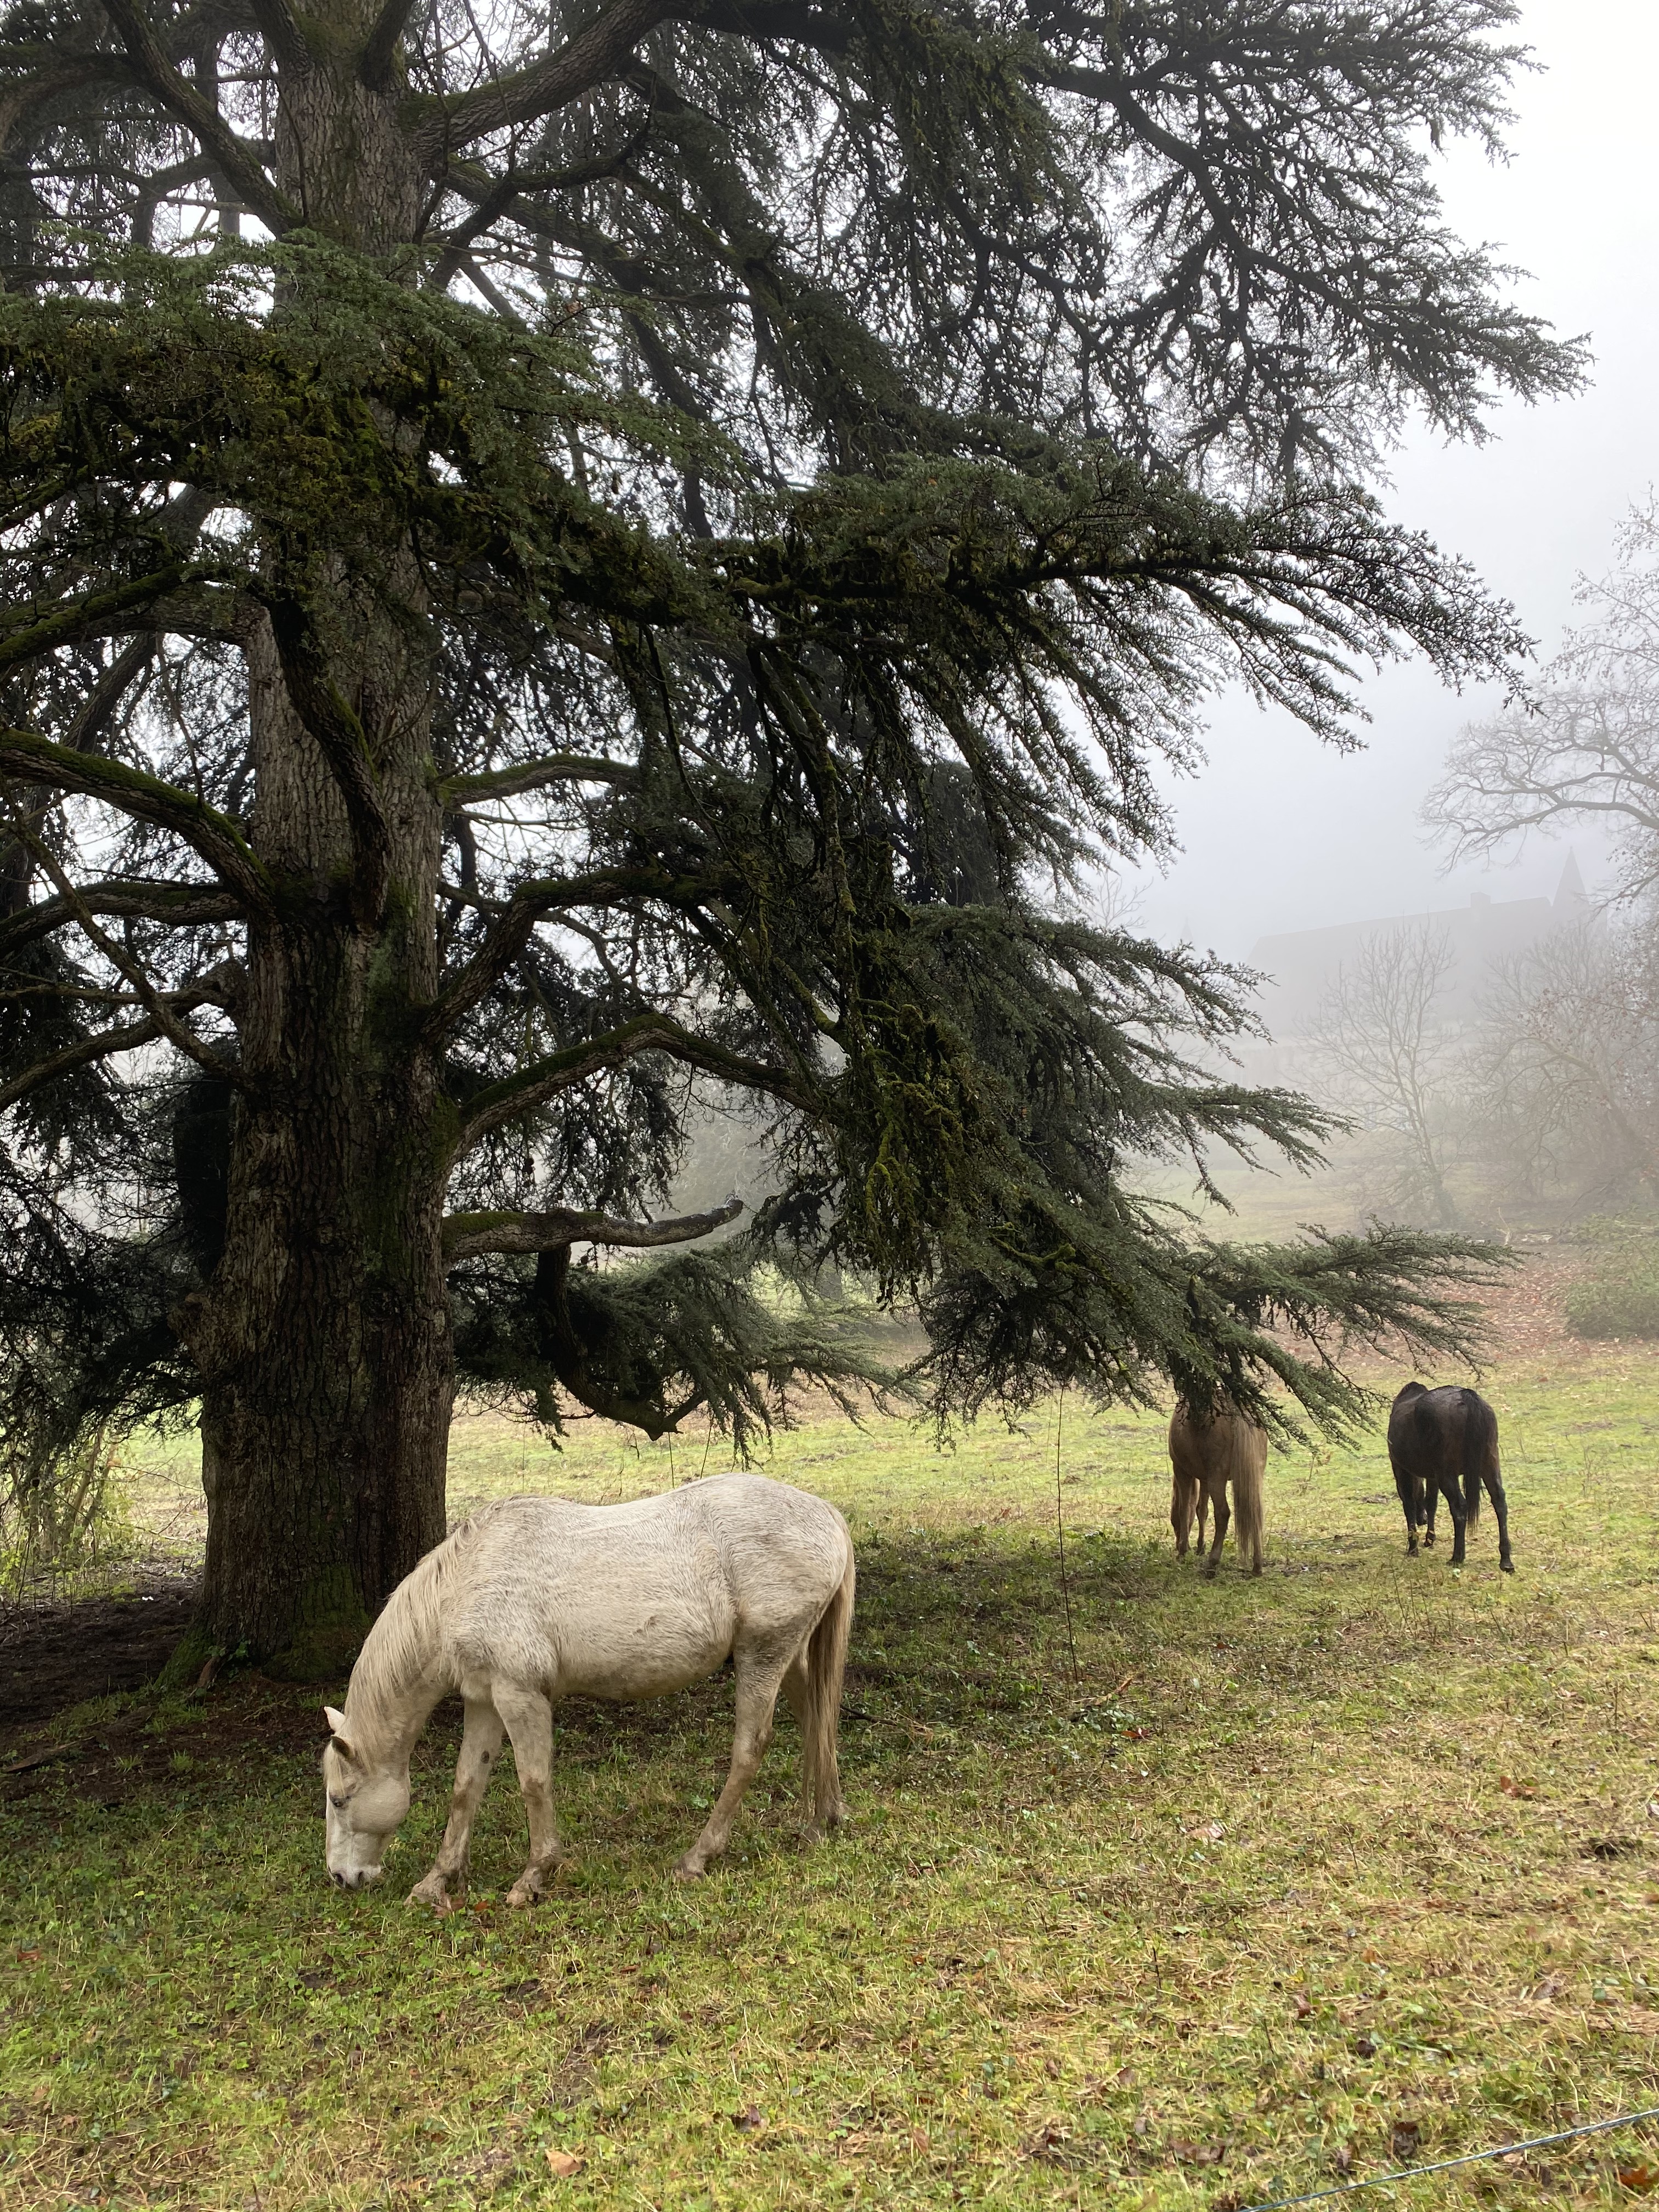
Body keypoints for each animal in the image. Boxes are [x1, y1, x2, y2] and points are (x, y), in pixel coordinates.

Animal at [321, 1473, 855, 1908]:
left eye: (341, 1800)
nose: (342, 1877)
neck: (466, 1583)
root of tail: (827, 1515)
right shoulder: (483, 1701)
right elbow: (466, 1787)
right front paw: (437, 1881)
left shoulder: (520, 1696)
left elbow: (534, 1782)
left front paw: (534, 1876)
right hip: (786, 1659)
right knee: (818, 1721)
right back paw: (823, 1821)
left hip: (762, 1655)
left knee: (751, 1748)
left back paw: (698, 1857)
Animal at [1168, 1399, 1267, 1576]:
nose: (1177, 1542)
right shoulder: (1205, 1479)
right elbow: (1202, 1511)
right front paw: (1200, 1547)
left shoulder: (1182, 1471)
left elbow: (1185, 1509)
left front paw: (1183, 1551)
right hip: (1255, 1477)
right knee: (1255, 1512)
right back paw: (1257, 1566)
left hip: (1218, 1479)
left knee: (1223, 1514)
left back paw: (1212, 1563)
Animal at [1386, 1382, 1514, 1573]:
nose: (1422, 1520)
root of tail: (1467, 1398)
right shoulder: (1432, 1476)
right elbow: (1431, 1503)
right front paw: (1429, 1539)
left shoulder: (1401, 1469)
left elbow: (1409, 1505)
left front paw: (1413, 1548)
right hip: (1489, 1465)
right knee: (1500, 1501)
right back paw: (1506, 1560)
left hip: (1447, 1473)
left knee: (1460, 1507)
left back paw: (1457, 1557)